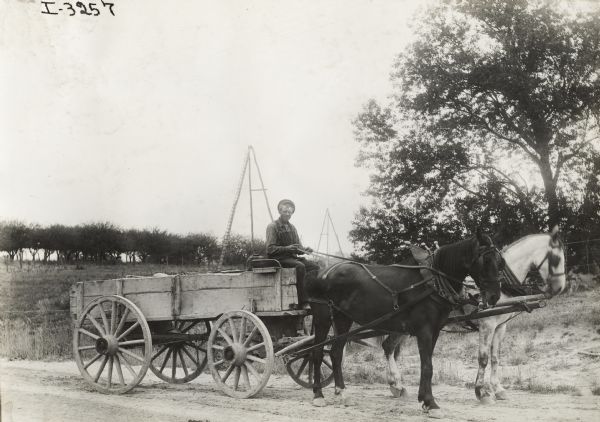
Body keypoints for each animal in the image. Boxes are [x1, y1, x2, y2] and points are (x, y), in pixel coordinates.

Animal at [304, 231, 502, 418]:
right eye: (486, 260)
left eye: (499, 260)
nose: (495, 296)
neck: (432, 282)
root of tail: (323, 272)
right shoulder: (424, 331)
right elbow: (427, 366)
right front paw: (431, 403)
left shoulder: (435, 330)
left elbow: (426, 365)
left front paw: (424, 400)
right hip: (323, 317)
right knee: (317, 353)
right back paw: (318, 395)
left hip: (343, 318)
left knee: (336, 353)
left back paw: (341, 392)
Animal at [372, 227, 564, 402]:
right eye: (556, 259)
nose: (560, 288)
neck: (503, 286)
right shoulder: (487, 325)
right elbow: (483, 358)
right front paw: (482, 392)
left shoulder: (500, 327)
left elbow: (495, 358)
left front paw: (498, 389)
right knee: (388, 347)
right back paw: (397, 385)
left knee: (389, 348)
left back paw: (396, 385)